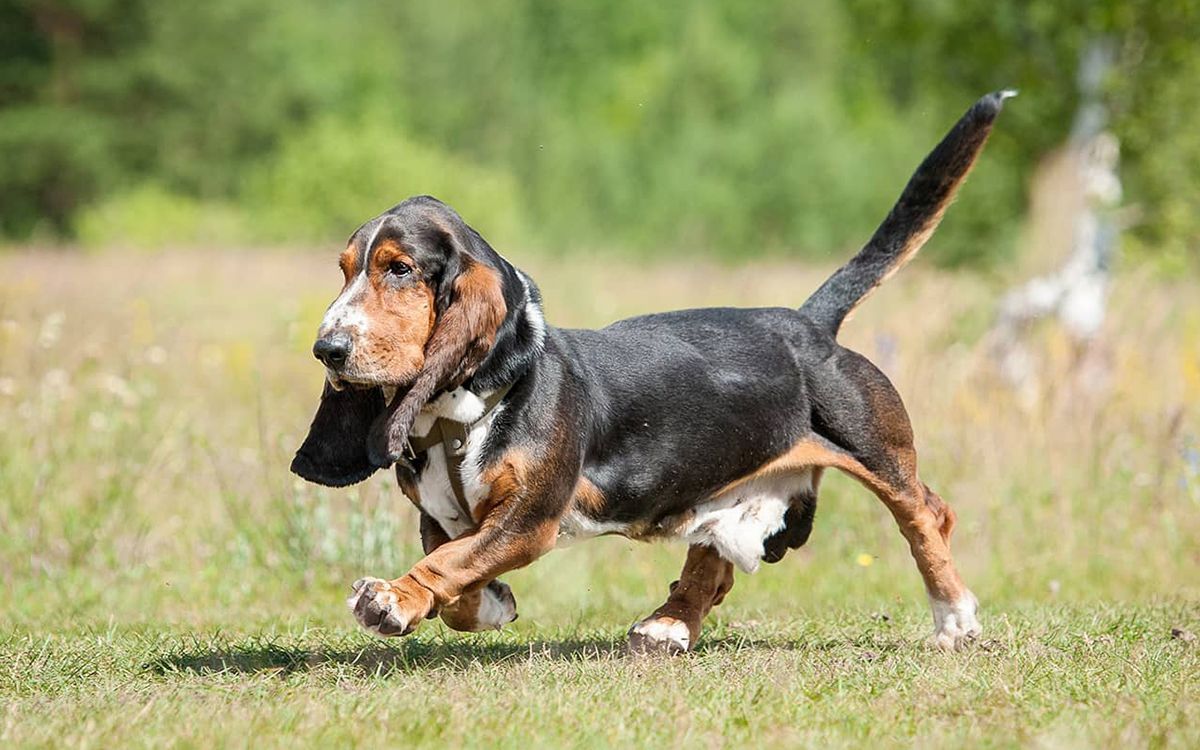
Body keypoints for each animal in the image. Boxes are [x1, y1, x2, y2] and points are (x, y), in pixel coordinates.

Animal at [292, 89, 1012, 648]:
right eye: (345, 270)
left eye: (398, 269)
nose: (327, 350)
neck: (463, 414)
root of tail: (807, 323)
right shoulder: (441, 517)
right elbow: (457, 572)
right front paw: (488, 604)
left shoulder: (528, 518)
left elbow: (450, 561)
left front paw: (391, 598)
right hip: (727, 488)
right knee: (713, 559)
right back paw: (669, 624)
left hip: (875, 449)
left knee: (926, 515)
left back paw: (954, 617)